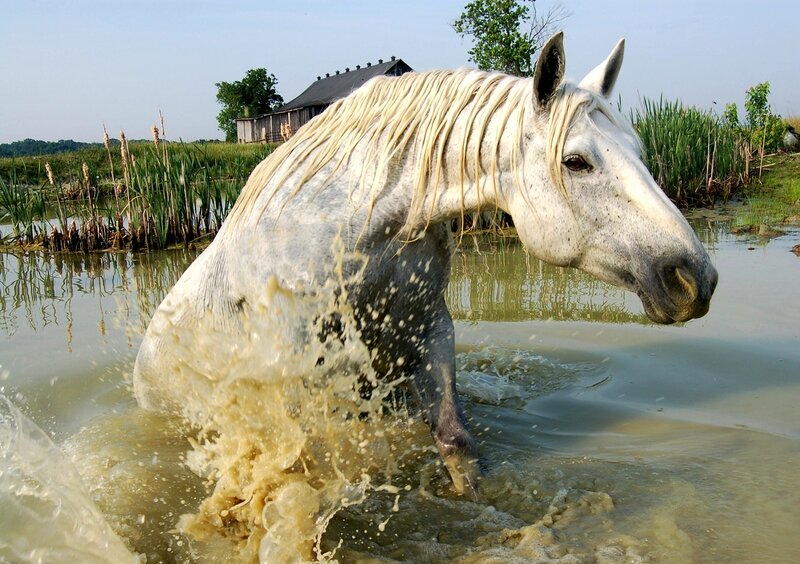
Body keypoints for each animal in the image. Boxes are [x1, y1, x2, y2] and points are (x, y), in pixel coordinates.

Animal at [133, 33, 718, 498]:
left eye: (639, 150)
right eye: (575, 162)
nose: (697, 278)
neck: (360, 223)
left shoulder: (429, 328)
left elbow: (454, 439)